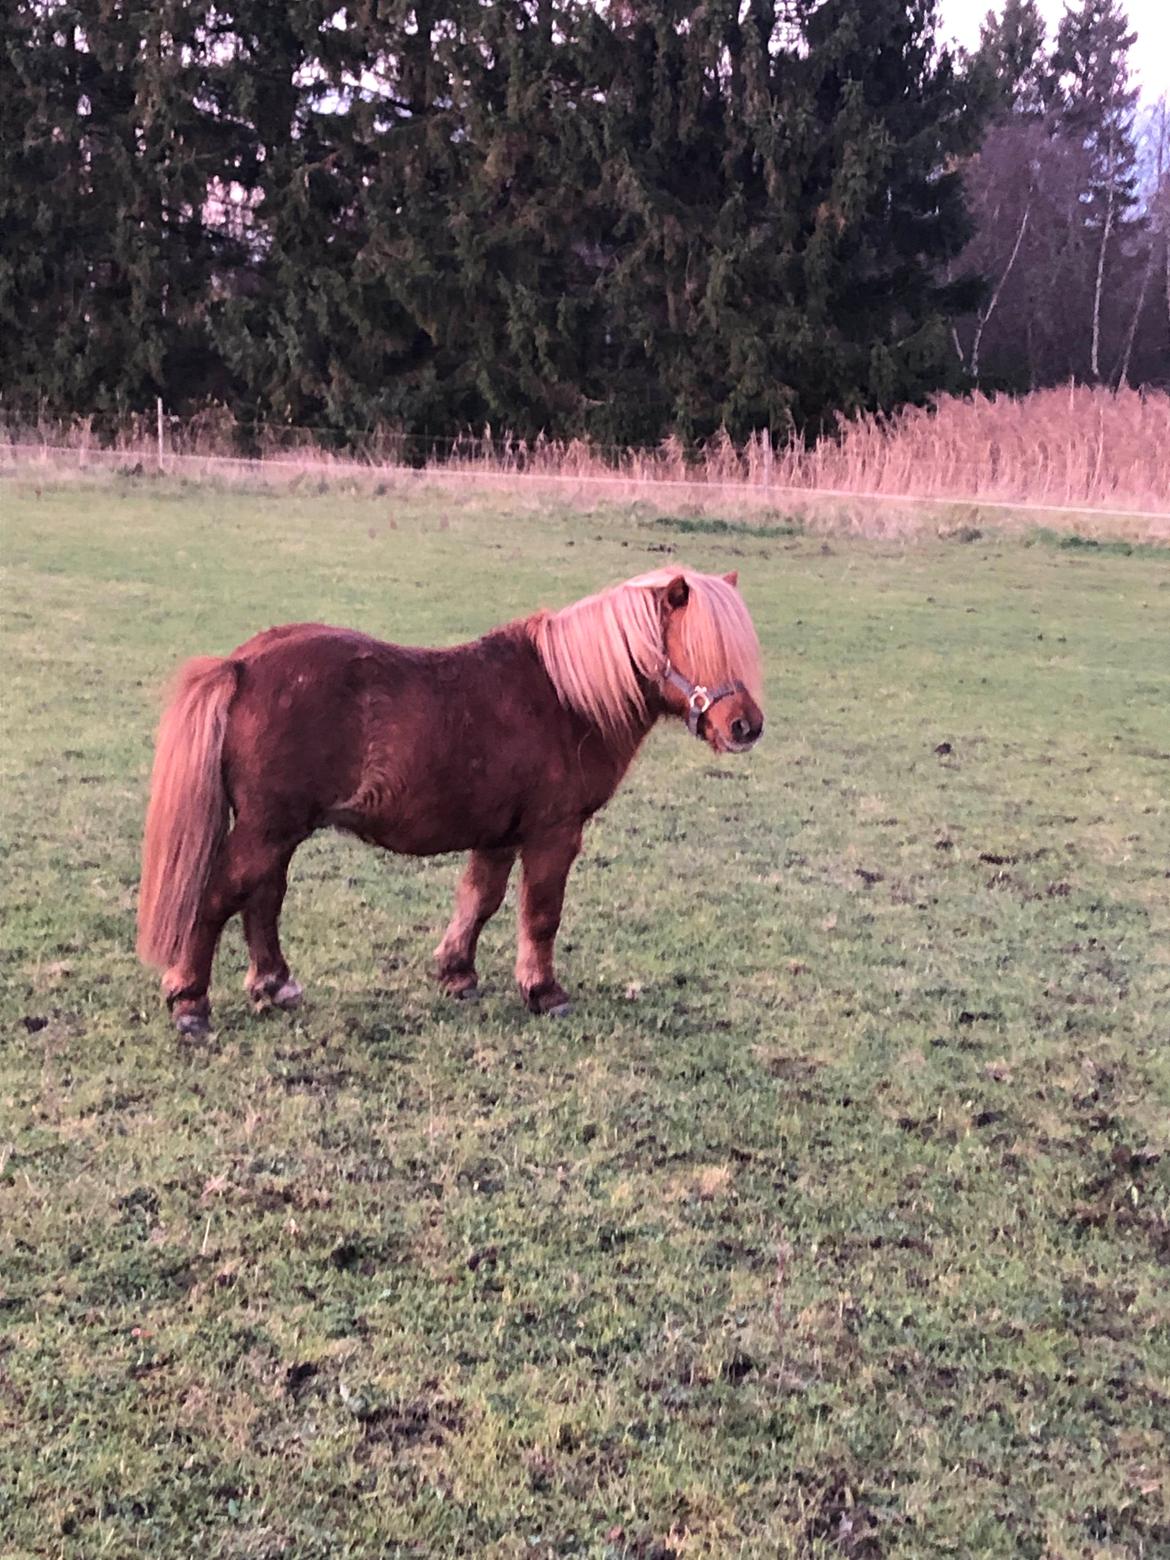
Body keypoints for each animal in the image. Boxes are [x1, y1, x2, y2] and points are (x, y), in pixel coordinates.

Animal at [137, 564, 764, 1035]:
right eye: (699, 646)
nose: (746, 727)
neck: (569, 699)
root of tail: (240, 666)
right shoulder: (553, 834)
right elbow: (541, 914)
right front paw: (544, 991)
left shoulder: (498, 836)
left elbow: (479, 901)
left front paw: (456, 973)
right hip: (268, 828)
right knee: (219, 896)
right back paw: (190, 1002)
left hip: (279, 830)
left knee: (262, 900)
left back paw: (275, 983)